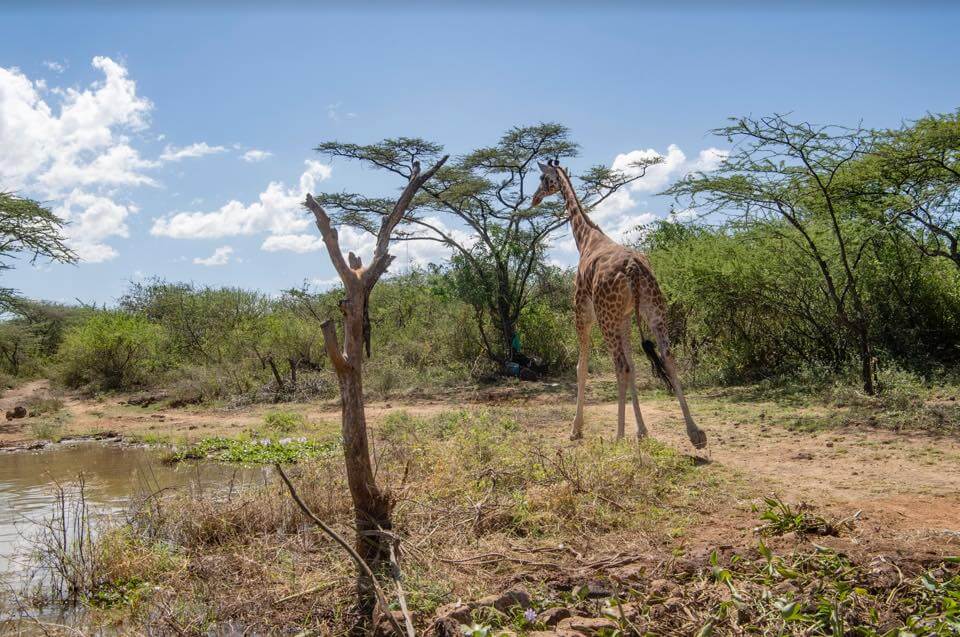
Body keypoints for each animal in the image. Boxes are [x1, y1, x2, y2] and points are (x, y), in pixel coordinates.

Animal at [531, 160, 707, 449]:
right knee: (667, 357)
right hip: (654, 312)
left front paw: (576, 429)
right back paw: (695, 433)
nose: (534, 199)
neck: (585, 238)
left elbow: (582, 368)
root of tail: (633, 269)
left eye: (543, 179)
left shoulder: (582, 314)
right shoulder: (624, 318)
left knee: (619, 365)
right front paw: (642, 431)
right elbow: (635, 367)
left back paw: (618, 436)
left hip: (606, 318)